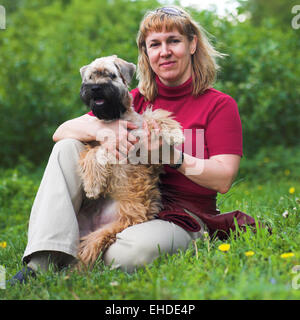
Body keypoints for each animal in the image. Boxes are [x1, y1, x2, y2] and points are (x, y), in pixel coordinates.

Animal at [76, 55, 184, 268]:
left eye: (111, 75)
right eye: (90, 76)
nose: (95, 88)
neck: (113, 117)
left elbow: (155, 115)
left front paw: (175, 132)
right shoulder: (98, 144)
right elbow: (94, 154)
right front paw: (92, 186)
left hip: (107, 231)